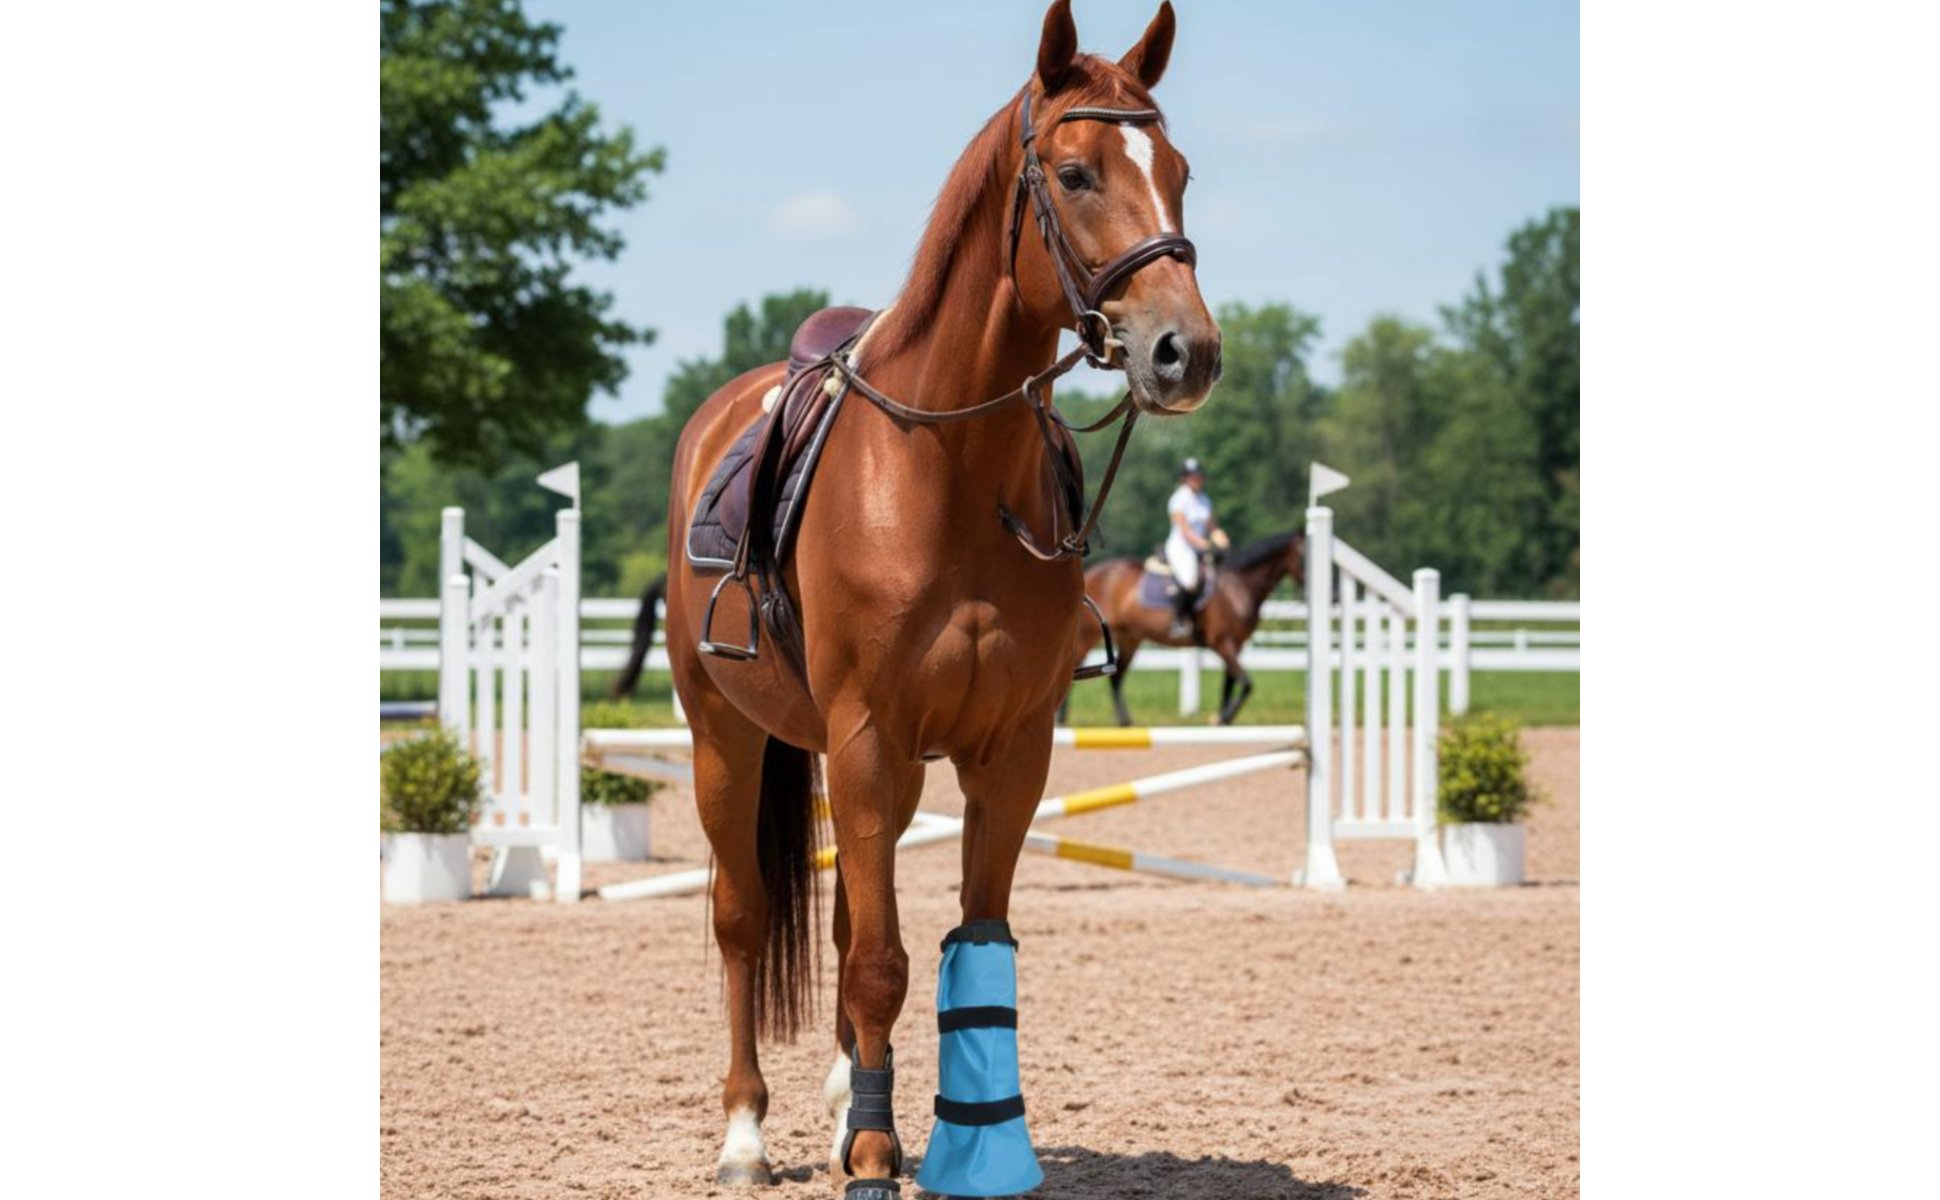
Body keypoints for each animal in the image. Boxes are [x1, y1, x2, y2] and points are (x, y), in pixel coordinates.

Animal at [659, 4, 1217, 1193]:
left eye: (1180, 172)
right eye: (1074, 172)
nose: (1183, 351)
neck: (949, 470)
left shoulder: (1005, 750)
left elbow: (971, 938)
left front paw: (953, 1138)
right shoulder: (869, 737)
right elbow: (880, 960)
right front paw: (873, 1153)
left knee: (833, 922)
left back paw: (834, 1108)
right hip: (725, 735)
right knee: (742, 917)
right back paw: (746, 1134)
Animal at [1072, 529, 1305, 726]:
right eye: (1303, 557)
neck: (1237, 586)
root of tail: (1091, 573)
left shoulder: (1236, 645)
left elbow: (1230, 685)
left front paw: (1222, 719)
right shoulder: (1222, 643)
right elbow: (1246, 683)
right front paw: (1223, 717)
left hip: (1131, 638)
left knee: (1116, 678)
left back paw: (1124, 722)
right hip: (1087, 636)